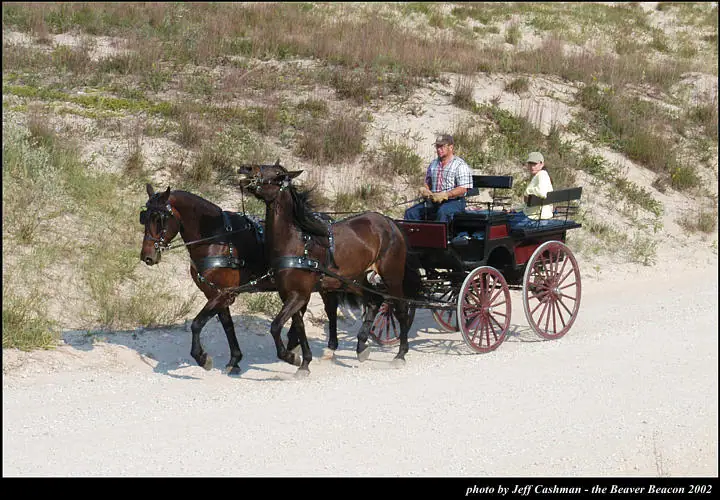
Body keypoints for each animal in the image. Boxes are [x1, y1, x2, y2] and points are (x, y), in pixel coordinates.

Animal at [139, 183, 356, 375]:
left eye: (159, 219)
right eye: (144, 218)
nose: (147, 256)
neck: (217, 238)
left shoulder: (222, 294)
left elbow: (197, 324)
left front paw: (201, 357)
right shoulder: (216, 294)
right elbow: (227, 325)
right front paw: (234, 359)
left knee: (330, 309)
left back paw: (326, 347)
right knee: (307, 310)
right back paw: (297, 344)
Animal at [237, 161, 420, 377]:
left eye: (278, 176)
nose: (246, 168)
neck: (297, 243)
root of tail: (390, 222)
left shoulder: (299, 295)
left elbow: (275, 326)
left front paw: (290, 357)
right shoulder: (290, 294)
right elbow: (298, 326)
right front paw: (304, 362)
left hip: (392, 277)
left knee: (400, 309)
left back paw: (400, 354)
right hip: (354, 280)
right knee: (374, 301)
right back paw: (361, 346)